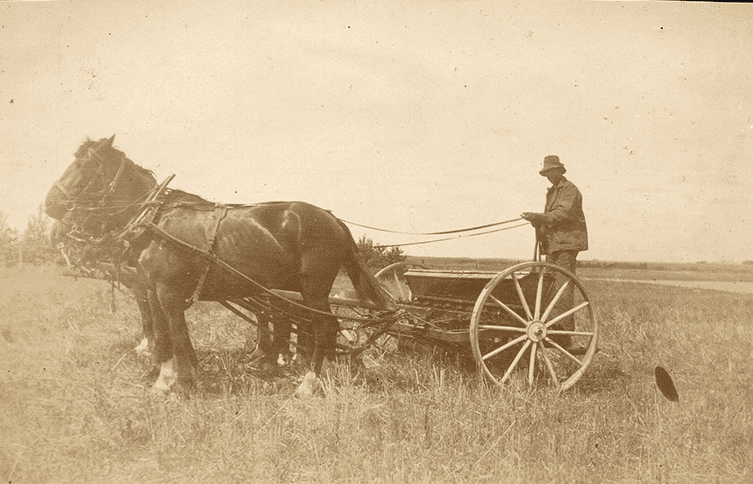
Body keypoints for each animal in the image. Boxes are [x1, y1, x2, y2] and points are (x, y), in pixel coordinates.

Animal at [44, 135, 390, 395]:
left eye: (83, 165)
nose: (49, 205)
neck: (155, 221)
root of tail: (334, 219)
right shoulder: (152, 290)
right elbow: (162, 334)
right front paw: (163, 379)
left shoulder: (168, 292)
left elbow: (177, 335)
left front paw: (182, 383)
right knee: (313, 326)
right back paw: (324, 374)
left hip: (314, 288)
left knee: (324, 327)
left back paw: (310, 382)